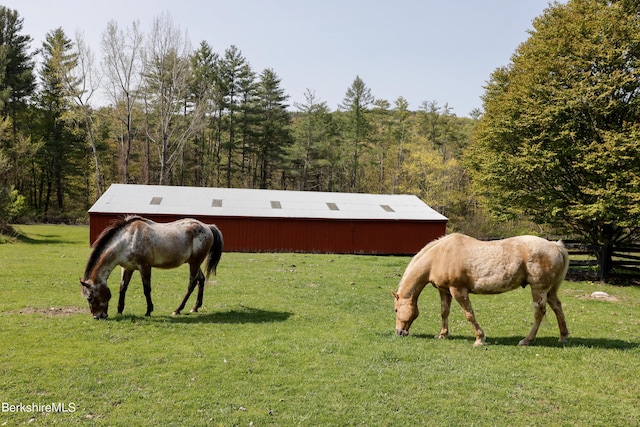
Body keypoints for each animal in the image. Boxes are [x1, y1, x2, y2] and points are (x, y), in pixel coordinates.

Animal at [80, 216, 222, 320]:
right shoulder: (127, 268)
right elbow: (123, 288)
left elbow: (146, 289)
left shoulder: (145, 267)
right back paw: (195, 307)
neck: (128, 239)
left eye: (89, 297)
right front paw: (119, 311)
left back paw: (177, 310)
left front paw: (148, 311)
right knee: (201, 279)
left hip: (194, 263)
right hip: (193, 262)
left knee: (191, 284)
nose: (97, 317)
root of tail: (208, 227)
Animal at [390, 234, 568, 348]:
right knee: (557, 307)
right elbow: (444, 312)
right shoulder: (445, 291)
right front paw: (442, 335)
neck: (439, 256)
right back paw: (563, 337)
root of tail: (555, 246)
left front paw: (479, 339)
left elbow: (469, 314)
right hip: (550, 291)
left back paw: (527, 340)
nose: (399, 332)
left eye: (396, 310)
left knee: (539, 313)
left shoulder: (458, 290)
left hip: (538, 289)